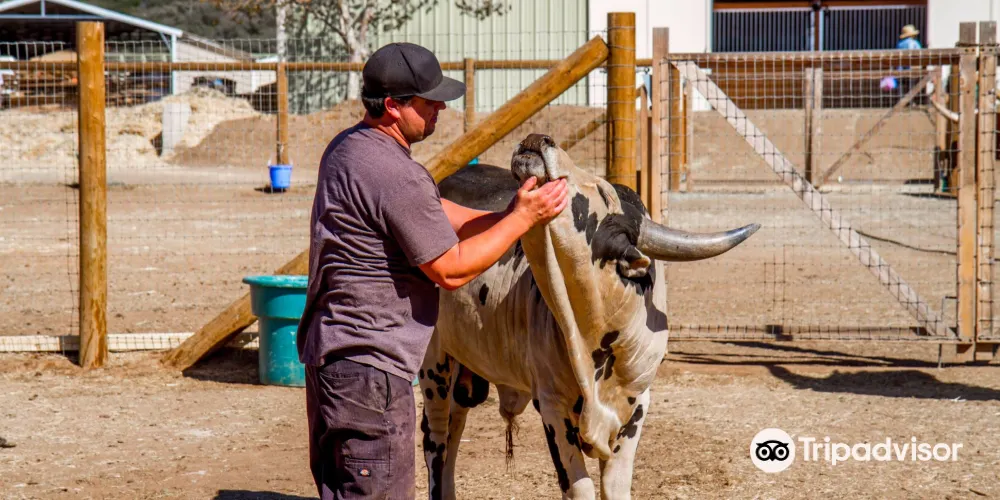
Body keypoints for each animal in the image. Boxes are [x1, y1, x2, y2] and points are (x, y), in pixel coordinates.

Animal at [418, 134, 759, 499]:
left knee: (455, 427)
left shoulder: (637, 407)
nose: (537, 138)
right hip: (433, 362)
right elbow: (580, 487)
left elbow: (615, 486)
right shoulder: (552, 405)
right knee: (435, 438)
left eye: (603, 192)